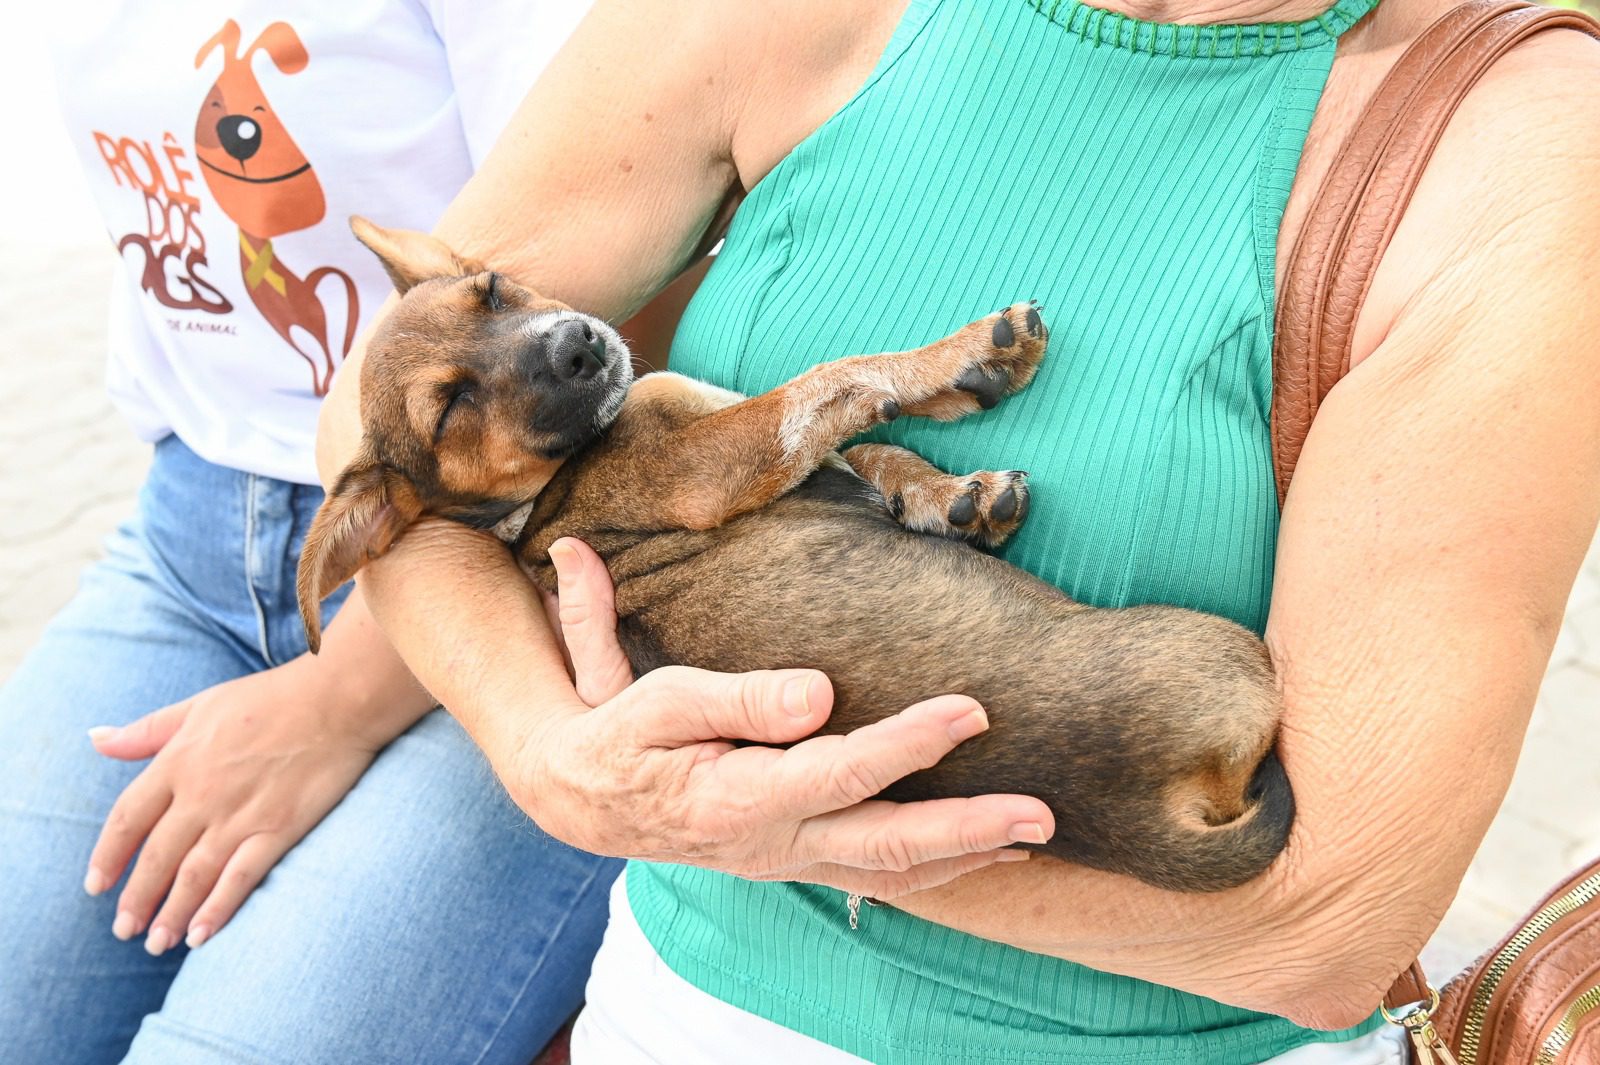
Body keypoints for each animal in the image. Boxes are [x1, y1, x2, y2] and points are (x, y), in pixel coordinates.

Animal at [305, 219, 1292, 889]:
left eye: (495, 289)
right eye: (449, 407)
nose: (581, 342)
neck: (539, 498)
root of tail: (1147, 819)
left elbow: (868, 445)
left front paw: (955, 496)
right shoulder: (710, 463)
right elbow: (835, 380)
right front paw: (966, 354)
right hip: (1222, 644)